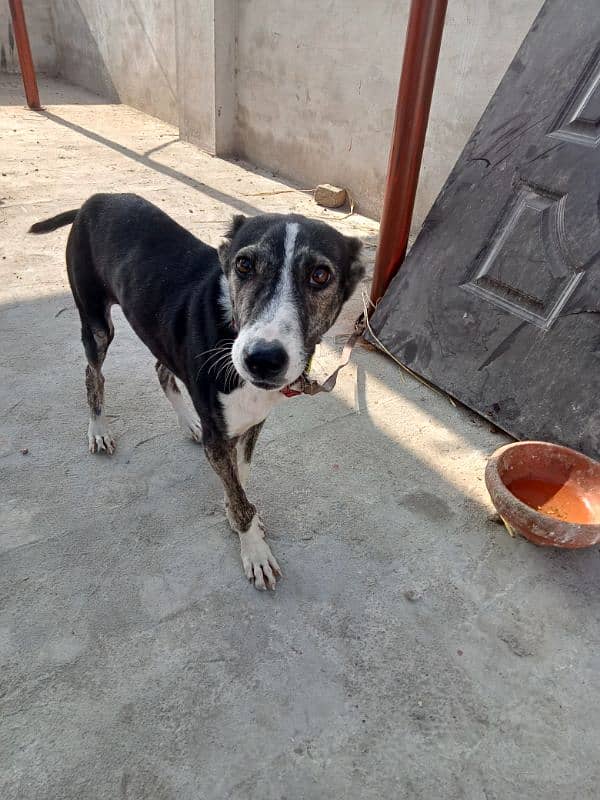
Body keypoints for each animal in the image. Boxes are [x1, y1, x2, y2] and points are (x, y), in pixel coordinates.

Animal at [30, 195, 364, 588]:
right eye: (244, 264)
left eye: (320, 275)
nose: (262, 359)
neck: (231, 327)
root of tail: (95, 200)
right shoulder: (217, 438)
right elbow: (237, 490)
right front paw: (253, 548)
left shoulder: (252, 423)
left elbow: (240, 475)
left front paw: (236, 515)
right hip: (97, 325)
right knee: (92, 374)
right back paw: (98, 429)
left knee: (161, 370)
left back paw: (188, 421)